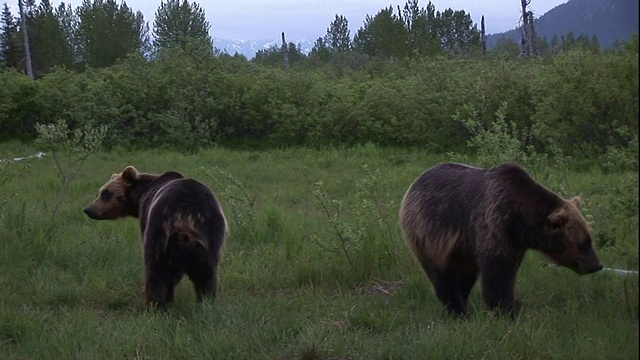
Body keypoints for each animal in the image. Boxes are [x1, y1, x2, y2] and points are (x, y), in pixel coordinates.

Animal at [82, 165, 228, 308]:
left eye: (106, 193)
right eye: (99, 193)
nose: (88, 210)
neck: (140, 195)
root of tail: (187, 215)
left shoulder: (145, 215)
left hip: (161, 231)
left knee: (156, 272)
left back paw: (155, 304)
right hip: (210, 235)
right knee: (207, 275)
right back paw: (206, 302)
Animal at [398, 162, 604, 316]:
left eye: (589, 239)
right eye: (583, 243)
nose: (597, 265)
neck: (519, 219)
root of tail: (416, 181)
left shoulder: (515, 242)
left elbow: (507, 271)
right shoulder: (493, 225)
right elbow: (498, 272)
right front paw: (505, 310)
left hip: (461, 247)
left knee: (466, 273)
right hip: (428, 231)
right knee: (442, 273)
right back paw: (457, 310)